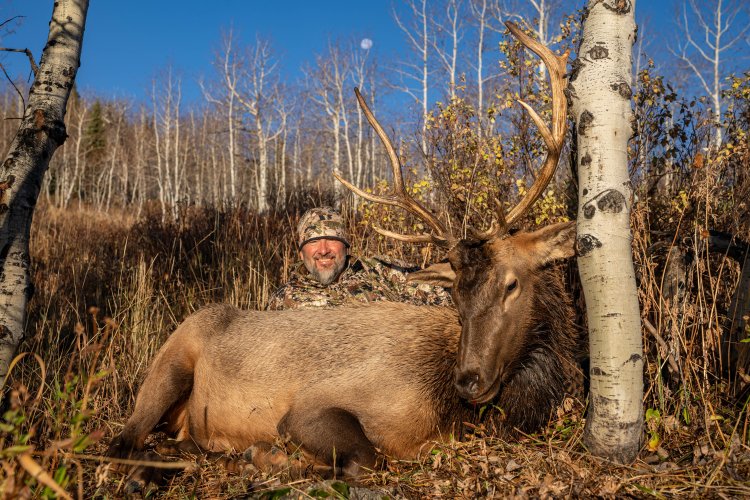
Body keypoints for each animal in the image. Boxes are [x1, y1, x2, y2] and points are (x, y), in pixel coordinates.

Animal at [107, 22, 576, 482]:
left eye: (511, 284)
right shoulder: (310, 408)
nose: (470, 381)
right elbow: (366, 458)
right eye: (457, 297)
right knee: (121, 442)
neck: (445, 408)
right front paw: (267, 458)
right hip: (168, 366)